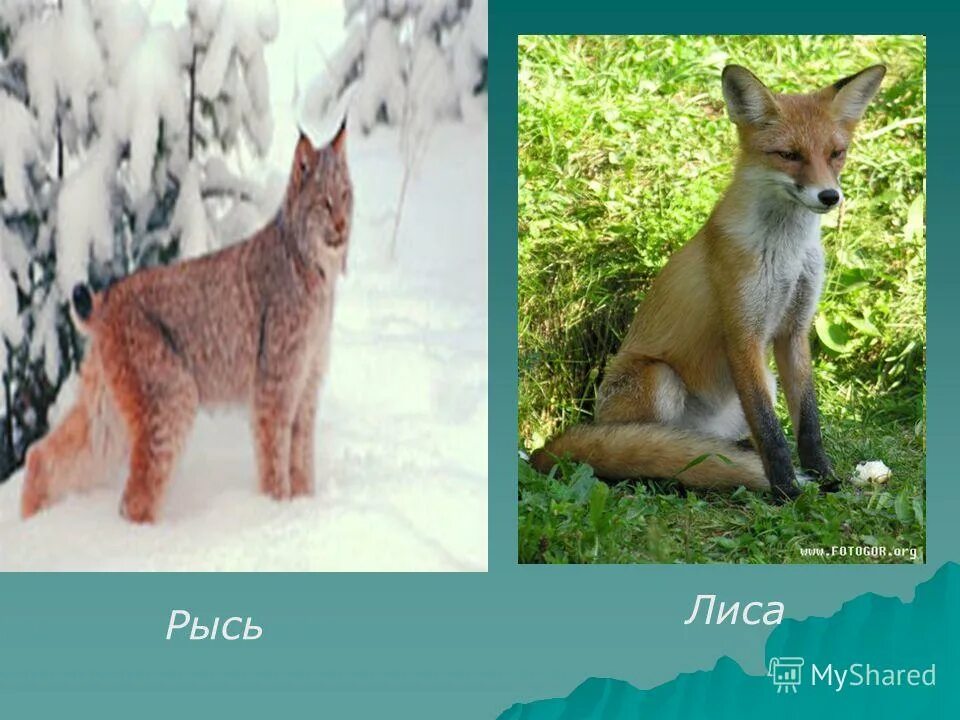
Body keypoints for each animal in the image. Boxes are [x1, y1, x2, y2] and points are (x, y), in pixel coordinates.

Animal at [20, 120, 352, 523]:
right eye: (324, 202)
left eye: (346, 195)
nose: (342, 226)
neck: (315, 269)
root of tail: (110, 296)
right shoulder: (274, 388)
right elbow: (275, 461)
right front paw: (276, 514)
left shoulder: (307, 384)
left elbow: (302, 458)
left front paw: (303, 508)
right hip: (172, 394)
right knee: (135, 497)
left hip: (110, 410)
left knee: (43, 453)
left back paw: (31, 518)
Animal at [530, 64, 887, 501]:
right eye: (788, 155)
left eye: (836, 153)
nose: (829, 196)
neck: (787, 253)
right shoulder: (743, 332)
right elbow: (771, 431)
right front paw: (786, 490)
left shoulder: (794, 330)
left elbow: (808, 423)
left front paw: (824, 477)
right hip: (659, 378)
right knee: (643, 442)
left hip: (758, 383)